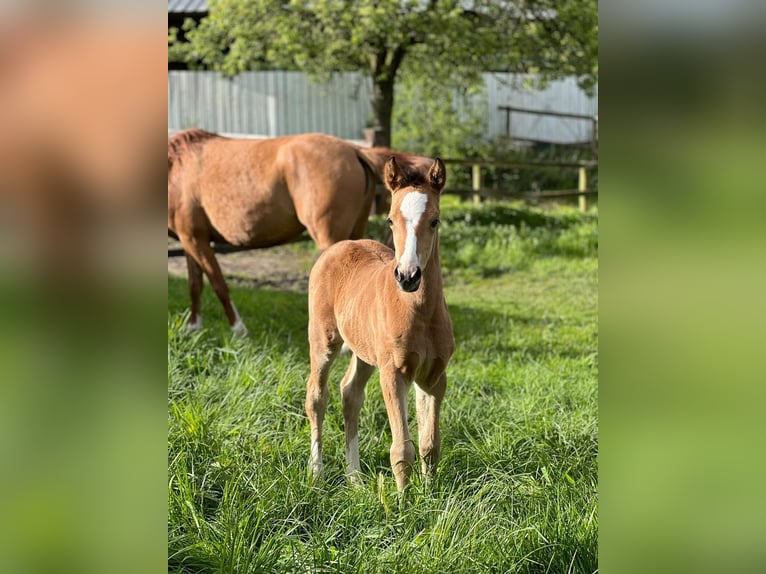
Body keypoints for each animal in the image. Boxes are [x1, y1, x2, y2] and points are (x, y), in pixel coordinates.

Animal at [171, 129, 380, 338]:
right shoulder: (190, 240)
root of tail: (354, 151)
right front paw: (193, 328)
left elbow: (218, 284)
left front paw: (238, 329)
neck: (176, 166)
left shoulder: (194, 240)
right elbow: (195, 284)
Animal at [304, 158, 452, 496]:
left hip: (365, 353)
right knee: (317, 396)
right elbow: (402, 449)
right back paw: (317, 474)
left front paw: (430, 496)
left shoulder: (434, 377)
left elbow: (429, 444)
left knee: (350, 395)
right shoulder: (394, 374)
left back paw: (355, 479)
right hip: (323, 341)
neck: (420, 312)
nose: (408, 276)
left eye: (434, 221)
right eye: (390, 221)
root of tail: (340, 245)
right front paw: (402, 503)